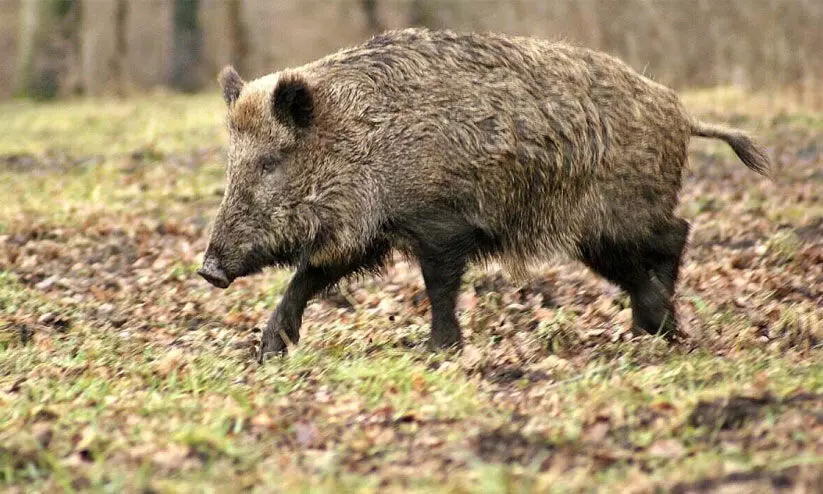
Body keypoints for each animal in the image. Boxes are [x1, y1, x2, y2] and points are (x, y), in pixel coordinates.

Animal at [197, 28, 771, 361]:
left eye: (272, 162)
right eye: (232, 162)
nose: (209, 269)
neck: (365, 136)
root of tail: (682, 113)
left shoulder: (440, 221)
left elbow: (439, 285)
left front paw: (437, 351)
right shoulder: (364, 233)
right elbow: (309, 275)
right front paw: (268, 353)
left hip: (620, 217)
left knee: (676, 235)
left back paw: (661, 329)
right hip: (601, 233)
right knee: (648, 259)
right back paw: (647, 331)